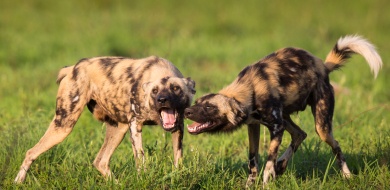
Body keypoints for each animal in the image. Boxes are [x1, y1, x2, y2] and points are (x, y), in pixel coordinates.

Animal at [14, 55, 195, 183]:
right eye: (155, 91)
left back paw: (117, 184)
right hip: (63, 126)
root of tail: (73, 68)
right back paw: (18, 182)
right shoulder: (135, 125)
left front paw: (177, 177)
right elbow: (141, 159)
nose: (162, 100)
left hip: (118, 129)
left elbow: (178, 159)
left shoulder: (178, 127)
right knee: (31, 152)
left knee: (100, 161)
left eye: (176, 88)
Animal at [184, 35, 382, 186]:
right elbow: (253, 161)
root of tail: (323, 66)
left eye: (209, 107)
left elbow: (268, 162)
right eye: (198, 102)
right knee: (300, 134)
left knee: (336, 146)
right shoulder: (254, 126)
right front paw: (250, 185)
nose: (186, 111)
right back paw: (282, 166)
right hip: (286, 117)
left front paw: (266, 182)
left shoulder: (276, 128)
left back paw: (347, 175)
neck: (250, 90)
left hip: (321, 127)